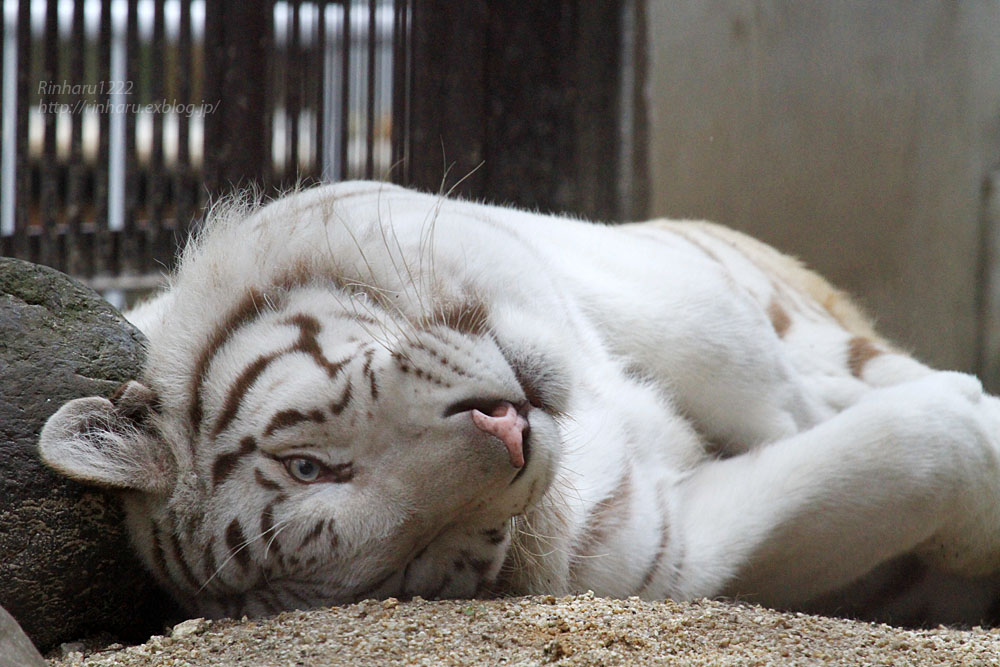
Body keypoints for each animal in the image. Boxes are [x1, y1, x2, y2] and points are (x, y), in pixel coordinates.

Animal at [39, 181, 1000, 628]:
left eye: (309, 463)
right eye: (410, 556)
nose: (509, 435)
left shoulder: (560, 259)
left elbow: (730, 355)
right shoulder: (667, 546)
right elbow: (907, 460)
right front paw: (970, 438)